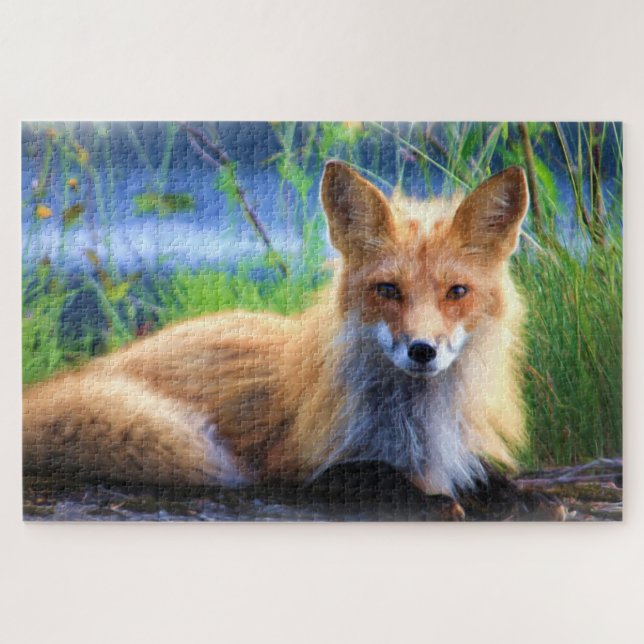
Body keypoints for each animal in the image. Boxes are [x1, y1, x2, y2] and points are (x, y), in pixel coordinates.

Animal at [23, 161, 530, 506]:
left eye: (456, 292)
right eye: (387, 290)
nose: (422, 350)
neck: (418, 428)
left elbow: (494, 480)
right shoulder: (302, 463)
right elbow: (378, 475)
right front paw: (438, 501)